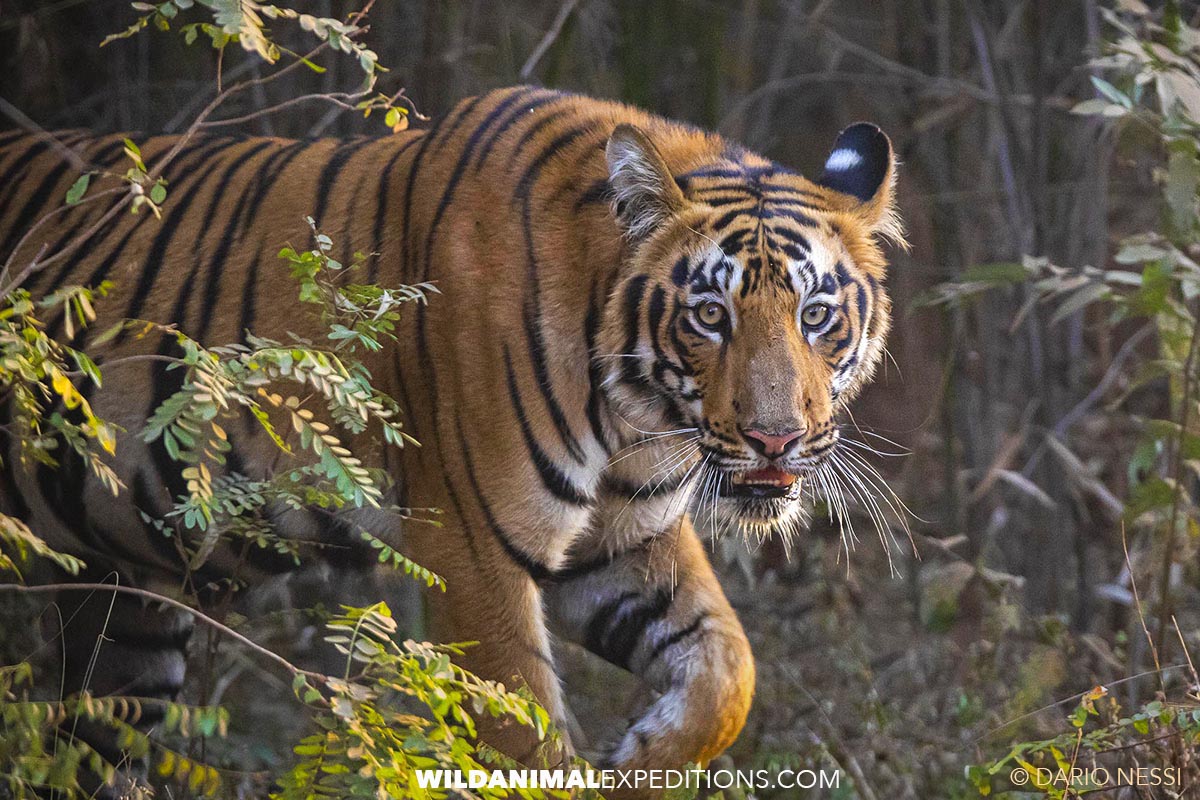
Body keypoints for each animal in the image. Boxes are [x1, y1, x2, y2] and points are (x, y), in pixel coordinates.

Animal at [0, 85, 902, 793]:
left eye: (816, 314)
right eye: (710, 316)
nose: (775, 440)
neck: (637, 419)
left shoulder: (623, 540)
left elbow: (728, 674)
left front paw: (634, 760)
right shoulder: (475, 549)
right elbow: (521, 742)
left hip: (126, 607)